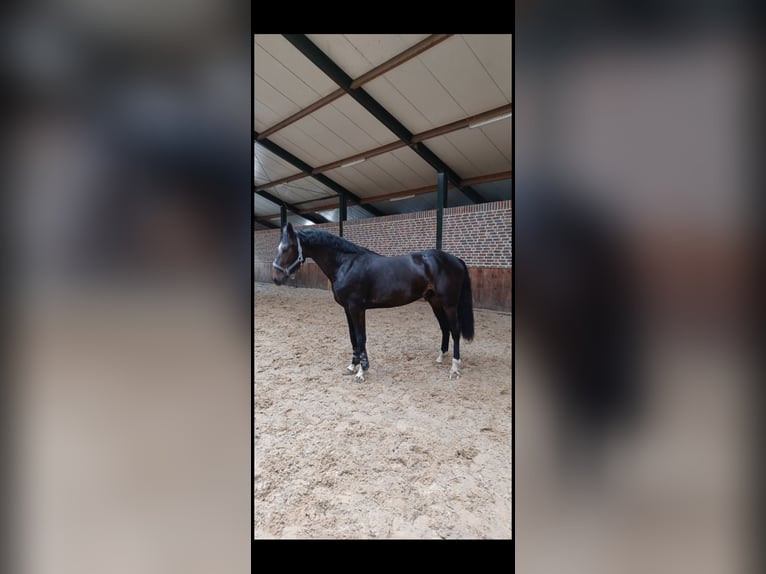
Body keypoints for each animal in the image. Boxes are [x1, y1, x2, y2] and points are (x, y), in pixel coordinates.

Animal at [271, 223, 474, 382]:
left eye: (287, 248)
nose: (275, 278)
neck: (346, 264)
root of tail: (455, 259)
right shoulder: (347, 309)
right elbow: (353, 337)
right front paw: (352, 366)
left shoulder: (357, 308)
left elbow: (361, 337)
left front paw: (362, 371)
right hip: (435, 301)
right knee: (445, 328)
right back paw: (440, 357)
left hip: (449, 304)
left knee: (455, 330)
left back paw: (454, 368)